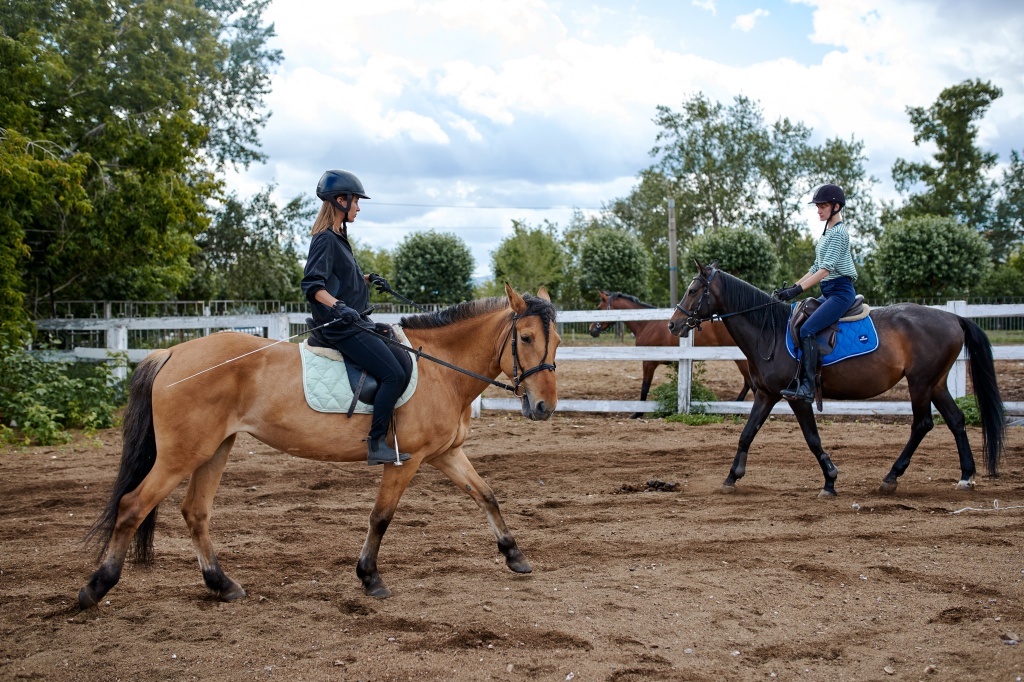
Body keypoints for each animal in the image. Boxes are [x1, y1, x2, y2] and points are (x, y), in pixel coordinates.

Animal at [79, 284, 561, 602]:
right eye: (525, 338)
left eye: (556, 340)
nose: (543, 407)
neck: (440, 368)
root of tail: (172, 353)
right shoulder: (405, 460)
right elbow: (381, 517)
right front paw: (369, 578)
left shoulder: (445, 454)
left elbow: (487, 495)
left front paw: (515, 555)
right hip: (183, 453)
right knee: (132, 506)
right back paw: (96, 587)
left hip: (215, 449)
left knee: (195, 513)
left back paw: (222, 585)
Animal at [593, 286, 753, 413]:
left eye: (599, 308)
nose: (591, 330)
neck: (646, 323)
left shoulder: (649, 362)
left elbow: (645, 387)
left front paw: (637, 413)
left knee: (750, 383)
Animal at [667, 260, 1003, 493]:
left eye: (693, 290)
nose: (673, 324)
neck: (769, 333)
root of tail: (952, 317)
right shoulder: (766, 394)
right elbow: (747, 433)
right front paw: (731, 478)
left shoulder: (797, 398)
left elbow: (812, 438)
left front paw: (829, 480)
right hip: (935, 383)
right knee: (956, 420)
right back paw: (965, 476)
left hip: (920, 383)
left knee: (922, 424)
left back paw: (891, 477)